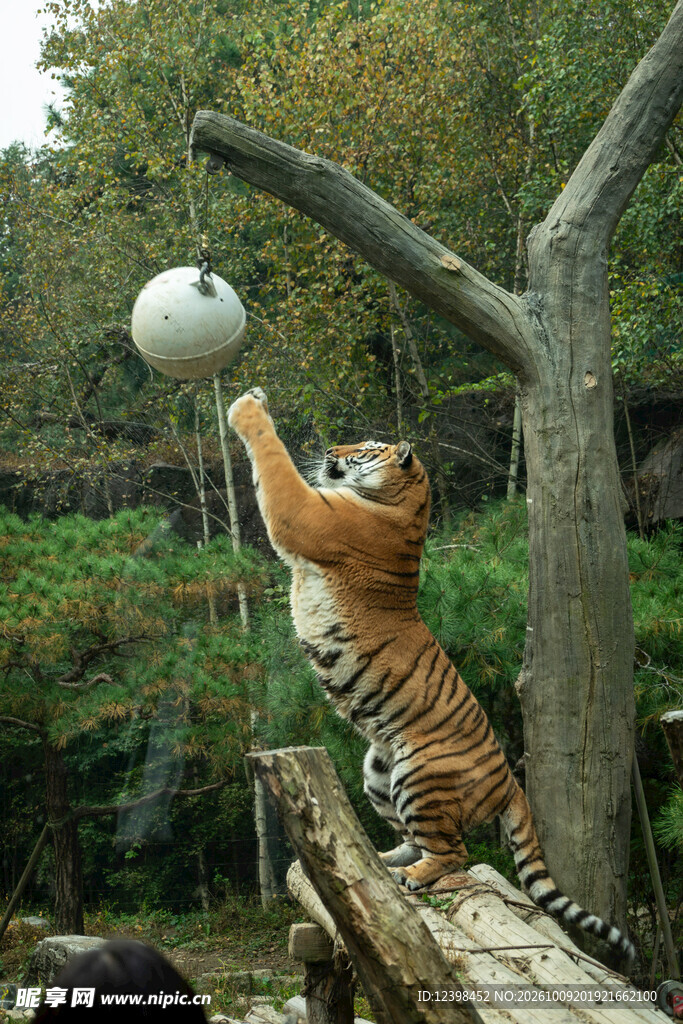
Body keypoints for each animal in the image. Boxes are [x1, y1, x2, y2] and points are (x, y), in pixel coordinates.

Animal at [227, 387, 635, 963]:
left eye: (364, 448)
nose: (332, 448)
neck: (406, 501)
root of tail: (512, 782)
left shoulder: (304, 512)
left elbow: (273, 457)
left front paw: (248, 407)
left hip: (421, 775)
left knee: (455, 853)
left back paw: (414, 877)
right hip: (378, 771)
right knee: (415, 838)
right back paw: (386, 859)